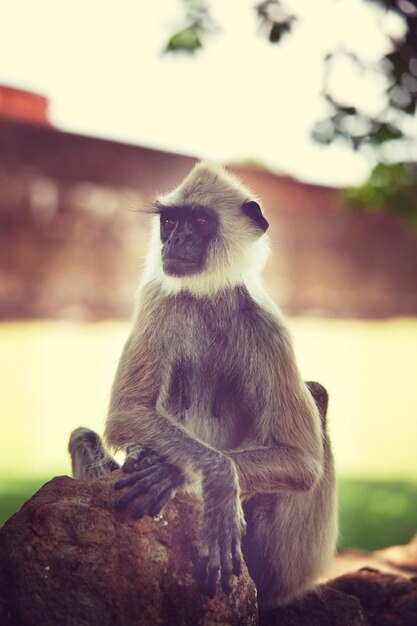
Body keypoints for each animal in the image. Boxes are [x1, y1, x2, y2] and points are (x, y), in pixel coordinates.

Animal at [68, 163, 334, 612]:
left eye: (199, 223)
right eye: (171, 222)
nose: (174, 240)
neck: (208, 294)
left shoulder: (268, 325)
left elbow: (300, 460)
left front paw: (175, 472)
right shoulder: (157, 296)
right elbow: (129, 412)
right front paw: (194, 470)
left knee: (317, 393)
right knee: (83, 435)